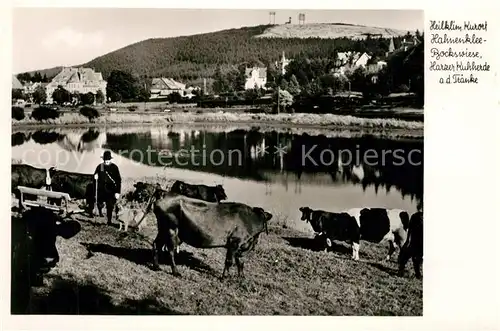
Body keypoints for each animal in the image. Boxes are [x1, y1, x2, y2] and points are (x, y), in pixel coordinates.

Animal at [141, 188, 274, 278]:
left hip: (163, 229)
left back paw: (156, 267)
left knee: (156, 244)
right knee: (170, 251)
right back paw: (176, 272)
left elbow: (240, 262)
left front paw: (241, 278)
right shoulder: (234, 242)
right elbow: (229, 261)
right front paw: (224, 277)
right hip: (171, 229)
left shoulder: (242, 246)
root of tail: (164, 193)